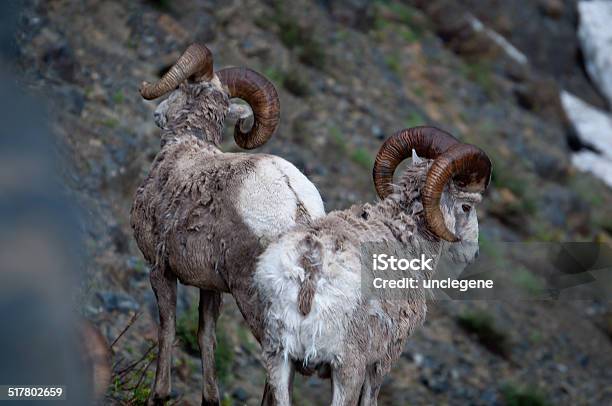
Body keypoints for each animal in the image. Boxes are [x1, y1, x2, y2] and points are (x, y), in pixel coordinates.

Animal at [130, 42, 326, 404]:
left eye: (180, 87)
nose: (158, 114)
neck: (184, 148)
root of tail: (298, 209)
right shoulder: (210, 287)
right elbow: (206, 336)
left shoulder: (160, 270)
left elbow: (167, 328)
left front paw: (159, 395)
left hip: (255, 301)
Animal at [253, 127, 492, 406]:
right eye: (466, 206)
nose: (473, 253)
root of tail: (311, 266)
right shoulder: (380, 364)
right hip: (347, 371)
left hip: (278, 361)